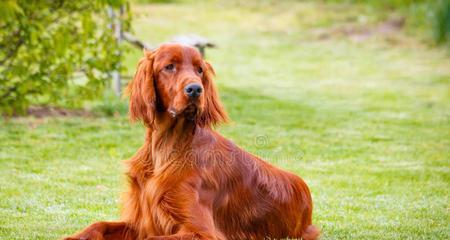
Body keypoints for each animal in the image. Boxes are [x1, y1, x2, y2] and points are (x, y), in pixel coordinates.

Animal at [67, 43, 320, 240]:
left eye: (199, 70)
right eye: (169, 66)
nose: (195, 89)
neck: (167, 147)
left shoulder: (202, 231)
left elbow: (152, 238)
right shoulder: (142, 221)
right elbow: (98, 225)